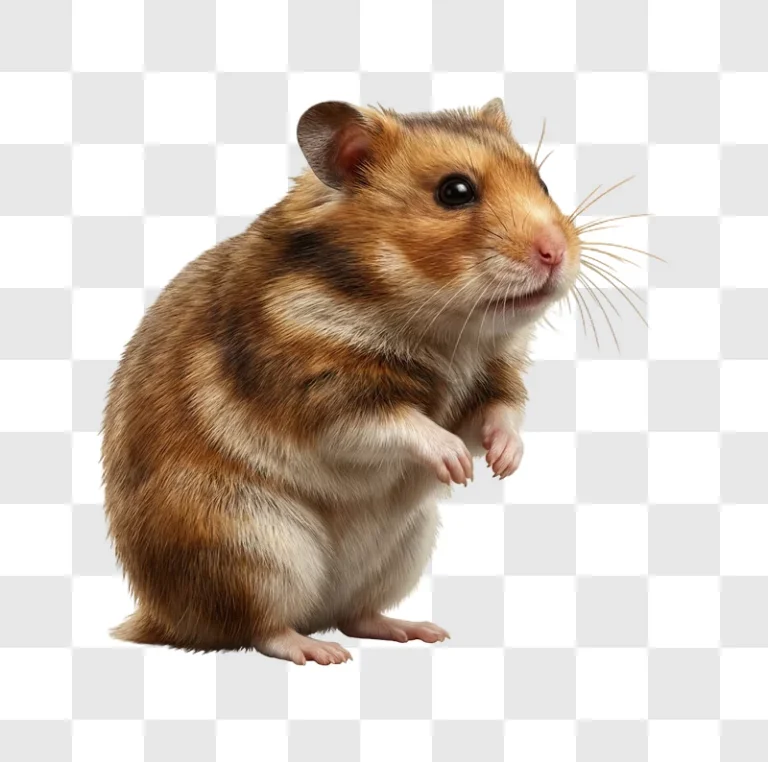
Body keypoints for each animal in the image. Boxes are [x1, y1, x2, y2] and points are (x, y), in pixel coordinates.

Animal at [101, 98, 583, 664]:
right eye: (455, 191)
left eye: (543, 182)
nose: (556, 252)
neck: (446, 329)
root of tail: (157, 617)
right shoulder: (320, 392)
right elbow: (397, 423)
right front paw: (459, 467)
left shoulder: (494, 375)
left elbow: (500, 411)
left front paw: (504, 463)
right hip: (248, 545)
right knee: (259, 628)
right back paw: (319, 652)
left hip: (403, 548)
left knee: (356, 615)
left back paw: (417, 630)